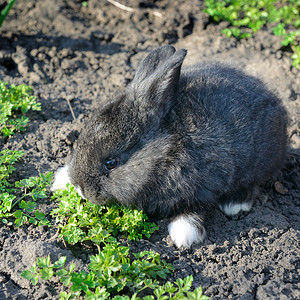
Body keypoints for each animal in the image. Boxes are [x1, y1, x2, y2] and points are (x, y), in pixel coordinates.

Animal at [51, 44, 288, 248]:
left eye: (111, 163)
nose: (81, 189)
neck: (165, 150)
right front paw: (61, 180)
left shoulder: (204, 187)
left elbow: (196, 209)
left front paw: (183, 234)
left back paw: (235, 204)